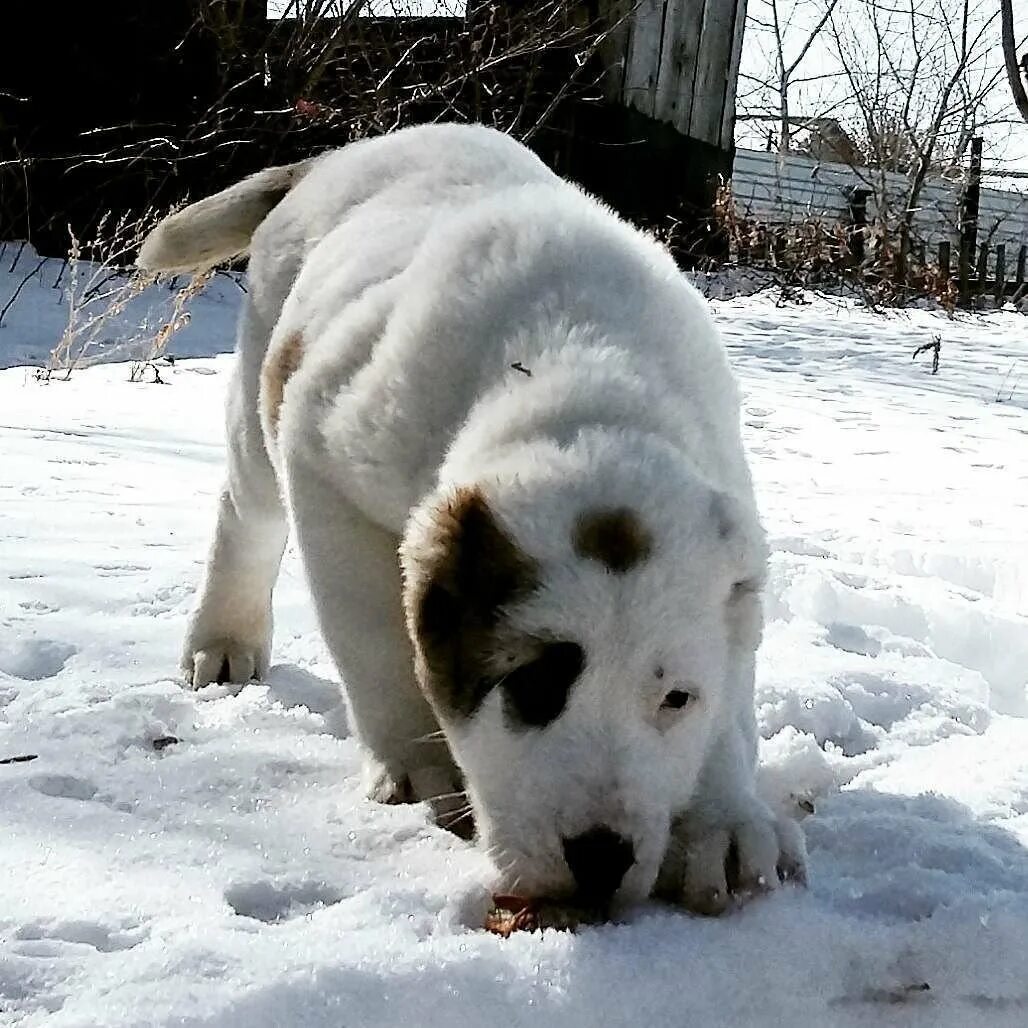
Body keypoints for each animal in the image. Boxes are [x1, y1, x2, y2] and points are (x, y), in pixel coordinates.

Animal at [140, 122, 805, 916]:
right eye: (532, 686)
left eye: (675, 697)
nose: (602, 859)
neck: (582, 398)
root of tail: (335, 158)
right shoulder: (323, 469)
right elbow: (376, 643)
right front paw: (417, 769)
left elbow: (729, 700)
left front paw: (723, 823)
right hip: (261, 392)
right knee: (247, 516)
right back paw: (222, 644)